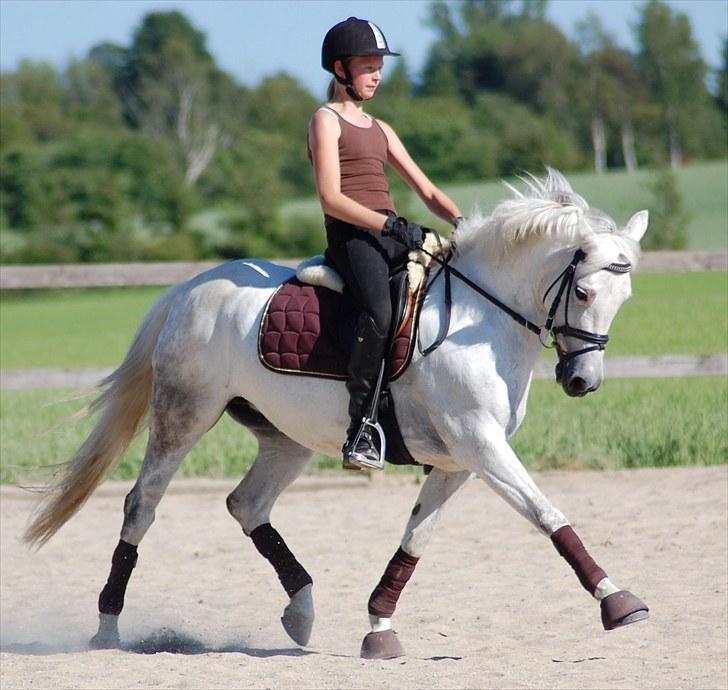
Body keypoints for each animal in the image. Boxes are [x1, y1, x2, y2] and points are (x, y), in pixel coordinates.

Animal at [24, 167, 648, 656]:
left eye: (626, 299)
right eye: (585, 293)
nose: (582, 382)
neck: (481, 315)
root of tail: (187, 290)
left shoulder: (459, 460)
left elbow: (416, 540)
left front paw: (379, 626)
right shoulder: (480, 443)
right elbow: (547, 513)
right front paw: (618, 602)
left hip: (285, 437)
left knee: (246, 504)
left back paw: (300, 611)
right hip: (185, 416)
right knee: (142, 505)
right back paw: (107, 628)